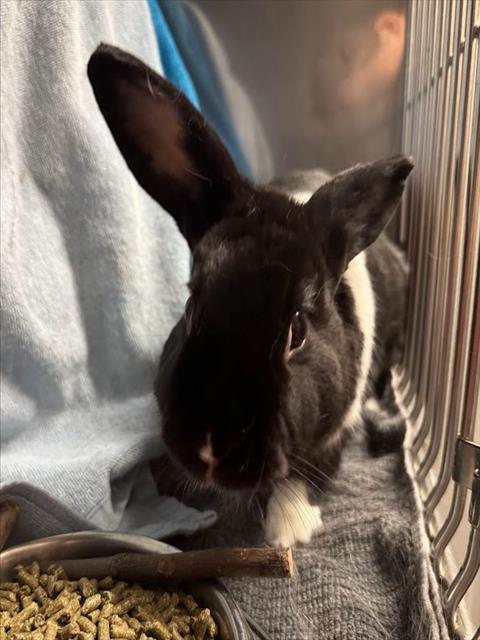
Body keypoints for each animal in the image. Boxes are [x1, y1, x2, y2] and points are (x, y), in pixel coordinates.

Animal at [87, 44, 413, 547]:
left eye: (298, 331)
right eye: (191, 306)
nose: (210, 449)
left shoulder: (332, 432)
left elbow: (312, 468)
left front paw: (287, 528)